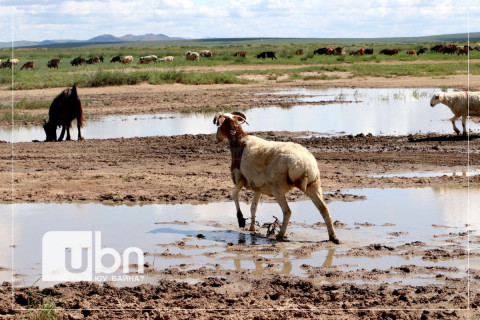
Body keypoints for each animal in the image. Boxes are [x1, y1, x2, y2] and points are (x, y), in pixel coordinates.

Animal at [212, 111, 340, 244]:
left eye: (218, 125)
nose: (217, 138)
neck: (238, 140)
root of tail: (304, 164)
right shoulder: (257, 186)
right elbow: (253, 207)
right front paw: (252, 228)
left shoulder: (239, 178)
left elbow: (234, 195)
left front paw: (241, 220)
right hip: (314, 185)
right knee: (324, 209)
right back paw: (333, 237)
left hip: (278, 188)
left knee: (287, 211)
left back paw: (280, 235)